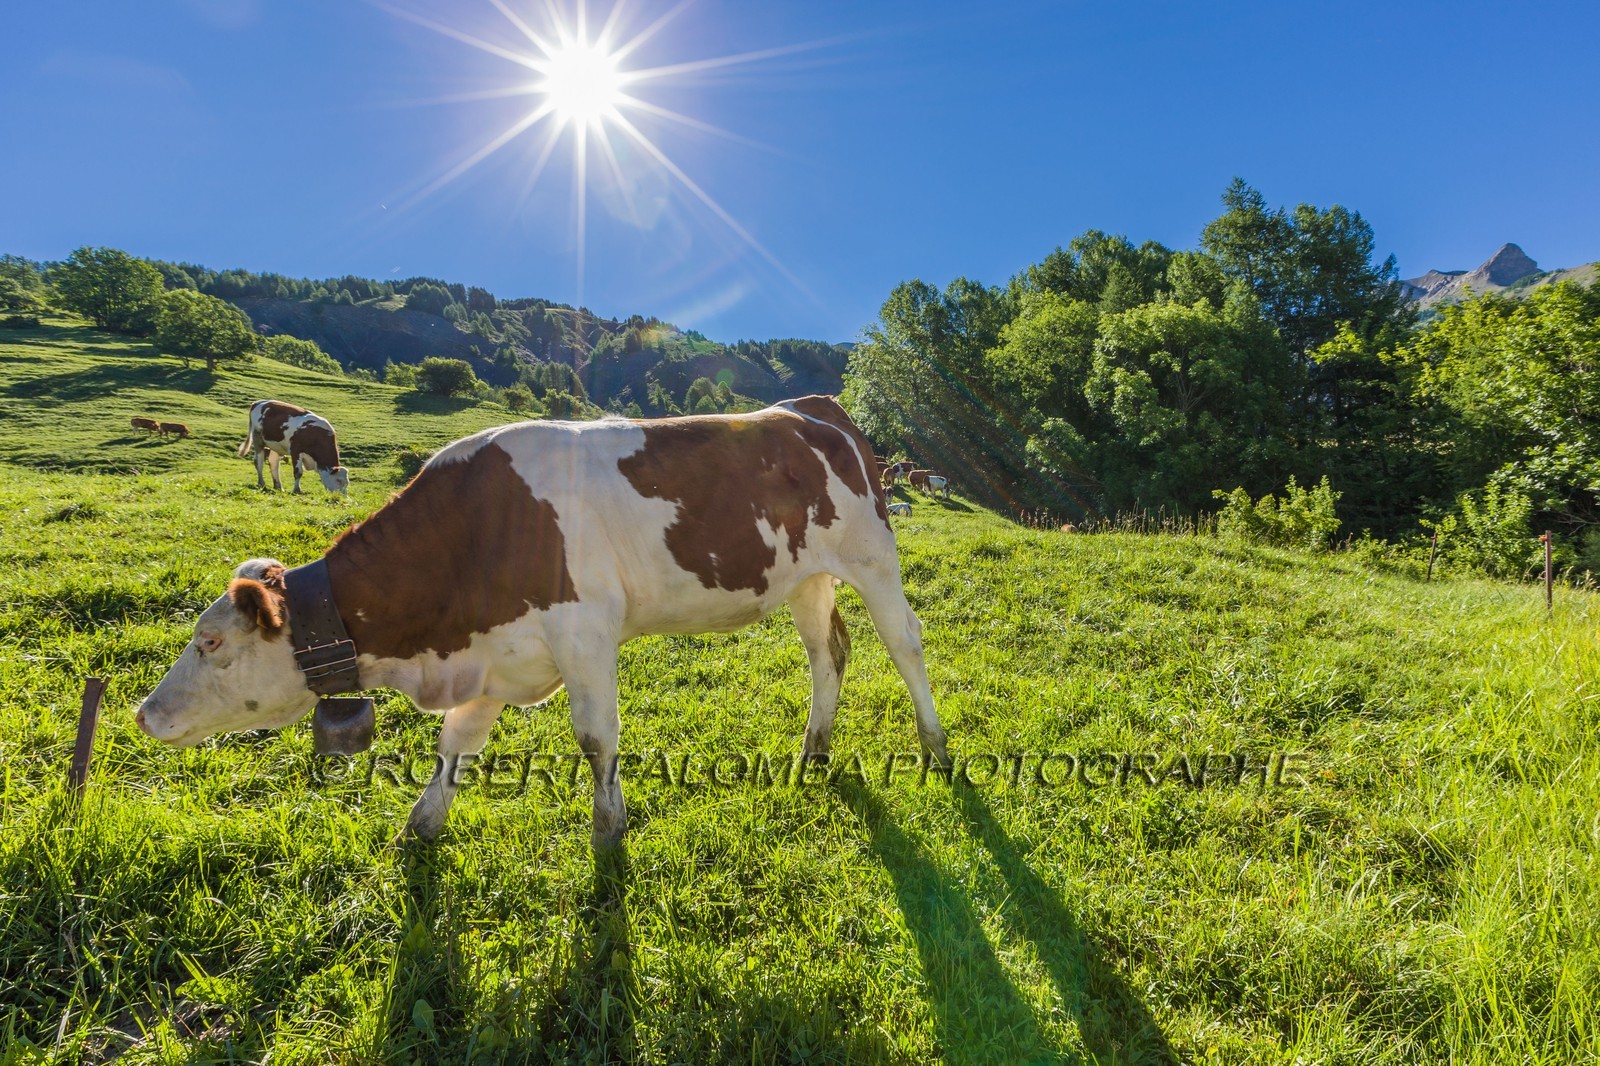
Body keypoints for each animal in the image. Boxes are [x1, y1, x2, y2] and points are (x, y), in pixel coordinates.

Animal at [137, 396, 949, 850]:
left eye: (210, 642)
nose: (145, 714)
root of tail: (812, 406)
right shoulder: (495, 654)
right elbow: (456, 745)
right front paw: (420, 828)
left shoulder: (583, 631)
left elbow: (595, 738)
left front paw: (609, 833)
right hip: (803, 576)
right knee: (828, 651)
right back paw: (813, 750)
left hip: (872, 554)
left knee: (905, 643)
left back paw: (936, 750)